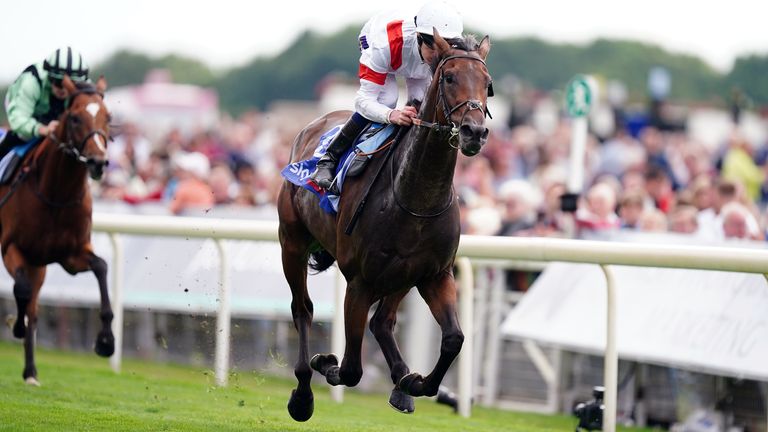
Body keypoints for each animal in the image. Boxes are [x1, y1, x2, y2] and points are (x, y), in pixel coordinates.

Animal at [0, 75, 113, 384]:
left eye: (108, 117)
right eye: (74, 118)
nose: (98, 162)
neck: (56, 194)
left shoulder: (70, 255)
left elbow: (101, 267)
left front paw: (106, 341)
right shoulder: (11, 247)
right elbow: (22, 289)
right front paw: (16, 326)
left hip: (39, 265)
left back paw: (30, 371)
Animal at [278, 28, 492, 420]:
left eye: (487, 83)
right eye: (450, 78)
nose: (474, 132)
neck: (416, 196)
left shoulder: (435, 274)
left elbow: (454, 339)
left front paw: (416, 383)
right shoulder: (359, 281)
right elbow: (350, 369)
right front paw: (325, 361)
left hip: (401, 275)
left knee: (382, 321)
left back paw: (401, 384)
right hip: (293, 243)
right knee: (302, 309)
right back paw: (302, 394)